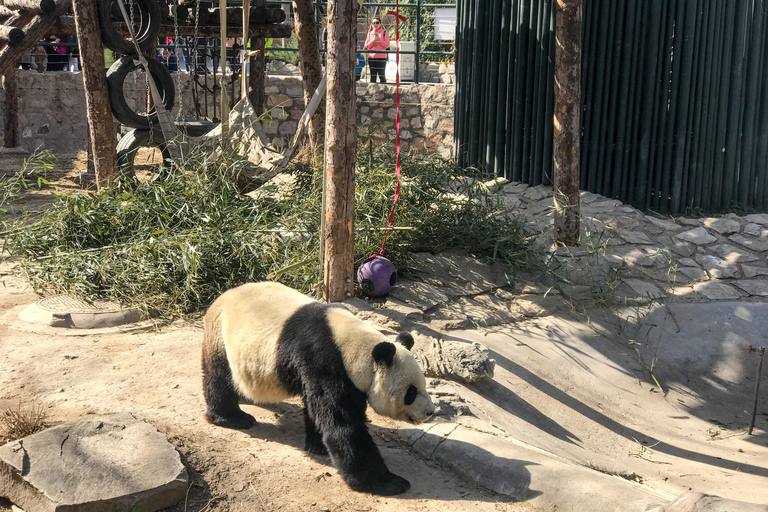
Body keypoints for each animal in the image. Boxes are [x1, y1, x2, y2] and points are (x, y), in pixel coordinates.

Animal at [201, 280, 436, 496]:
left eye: (423, 386)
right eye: (411, 392)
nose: (430, 412)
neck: (354, 346)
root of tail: (222, 296)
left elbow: (318, 410)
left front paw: (317, 445)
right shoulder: (324, 361)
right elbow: (342, 425)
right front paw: (388, 482)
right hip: (221, 336)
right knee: (219, 377)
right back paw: (232, 418)